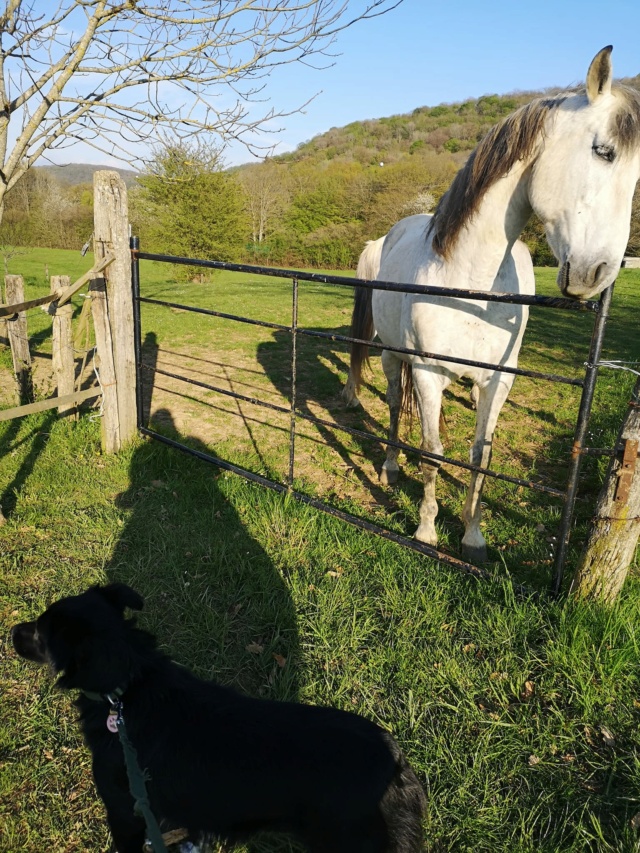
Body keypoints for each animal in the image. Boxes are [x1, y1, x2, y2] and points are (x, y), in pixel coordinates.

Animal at [344, 48, 640, 564]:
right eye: (603, 151)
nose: (598, 273)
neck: (472, 284)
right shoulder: (427, 371)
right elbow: (433, 450)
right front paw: (426, 531)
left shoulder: (498, 380)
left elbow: (480, 454)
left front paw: (472, 536)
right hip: (392, 357)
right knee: (398, 408)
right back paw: (390, 466)